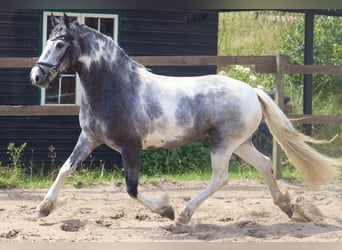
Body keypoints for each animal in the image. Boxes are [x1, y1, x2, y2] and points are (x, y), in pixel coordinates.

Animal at [30, 13, 342, 225]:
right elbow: (65, 169)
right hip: (240, 144)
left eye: (61, 44)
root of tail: (252, 91)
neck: (116, 88)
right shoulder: (89, 138)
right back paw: (287, 207)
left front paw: (167, 210)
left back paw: (184, 215)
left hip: (222, 144)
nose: (37, 76)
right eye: (47, 41)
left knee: (220, 178)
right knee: (265, 164)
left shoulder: (131, 148)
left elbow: (132, 189)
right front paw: (42, 208)